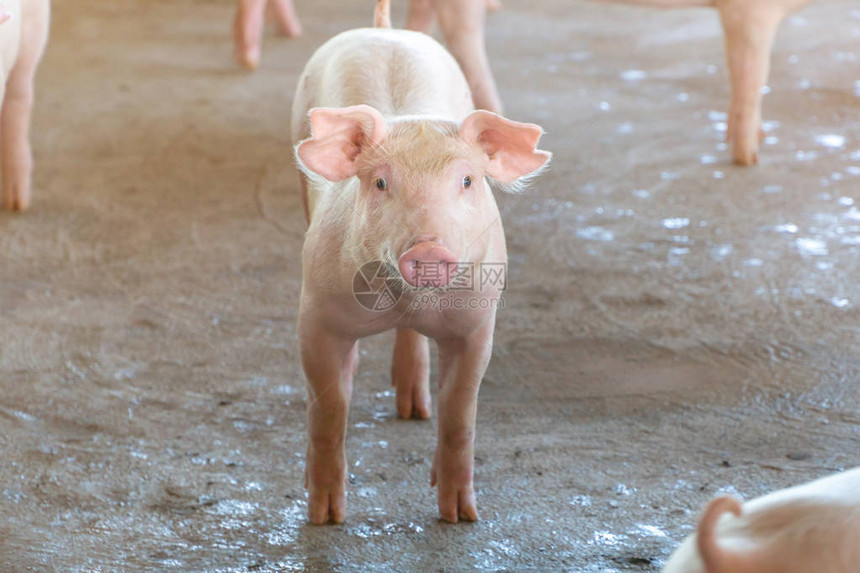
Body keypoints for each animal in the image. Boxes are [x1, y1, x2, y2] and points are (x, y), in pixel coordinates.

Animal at [286, 0, 548, 524]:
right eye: (381, 183)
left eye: (467, 181)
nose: (427, 248)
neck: (408, 301)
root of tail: (384, 31)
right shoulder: (315, 314)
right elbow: (329, 407)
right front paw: (325, 517)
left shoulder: (477, 323)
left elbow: (460, 412)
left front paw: (460, 516)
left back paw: (414, 410)